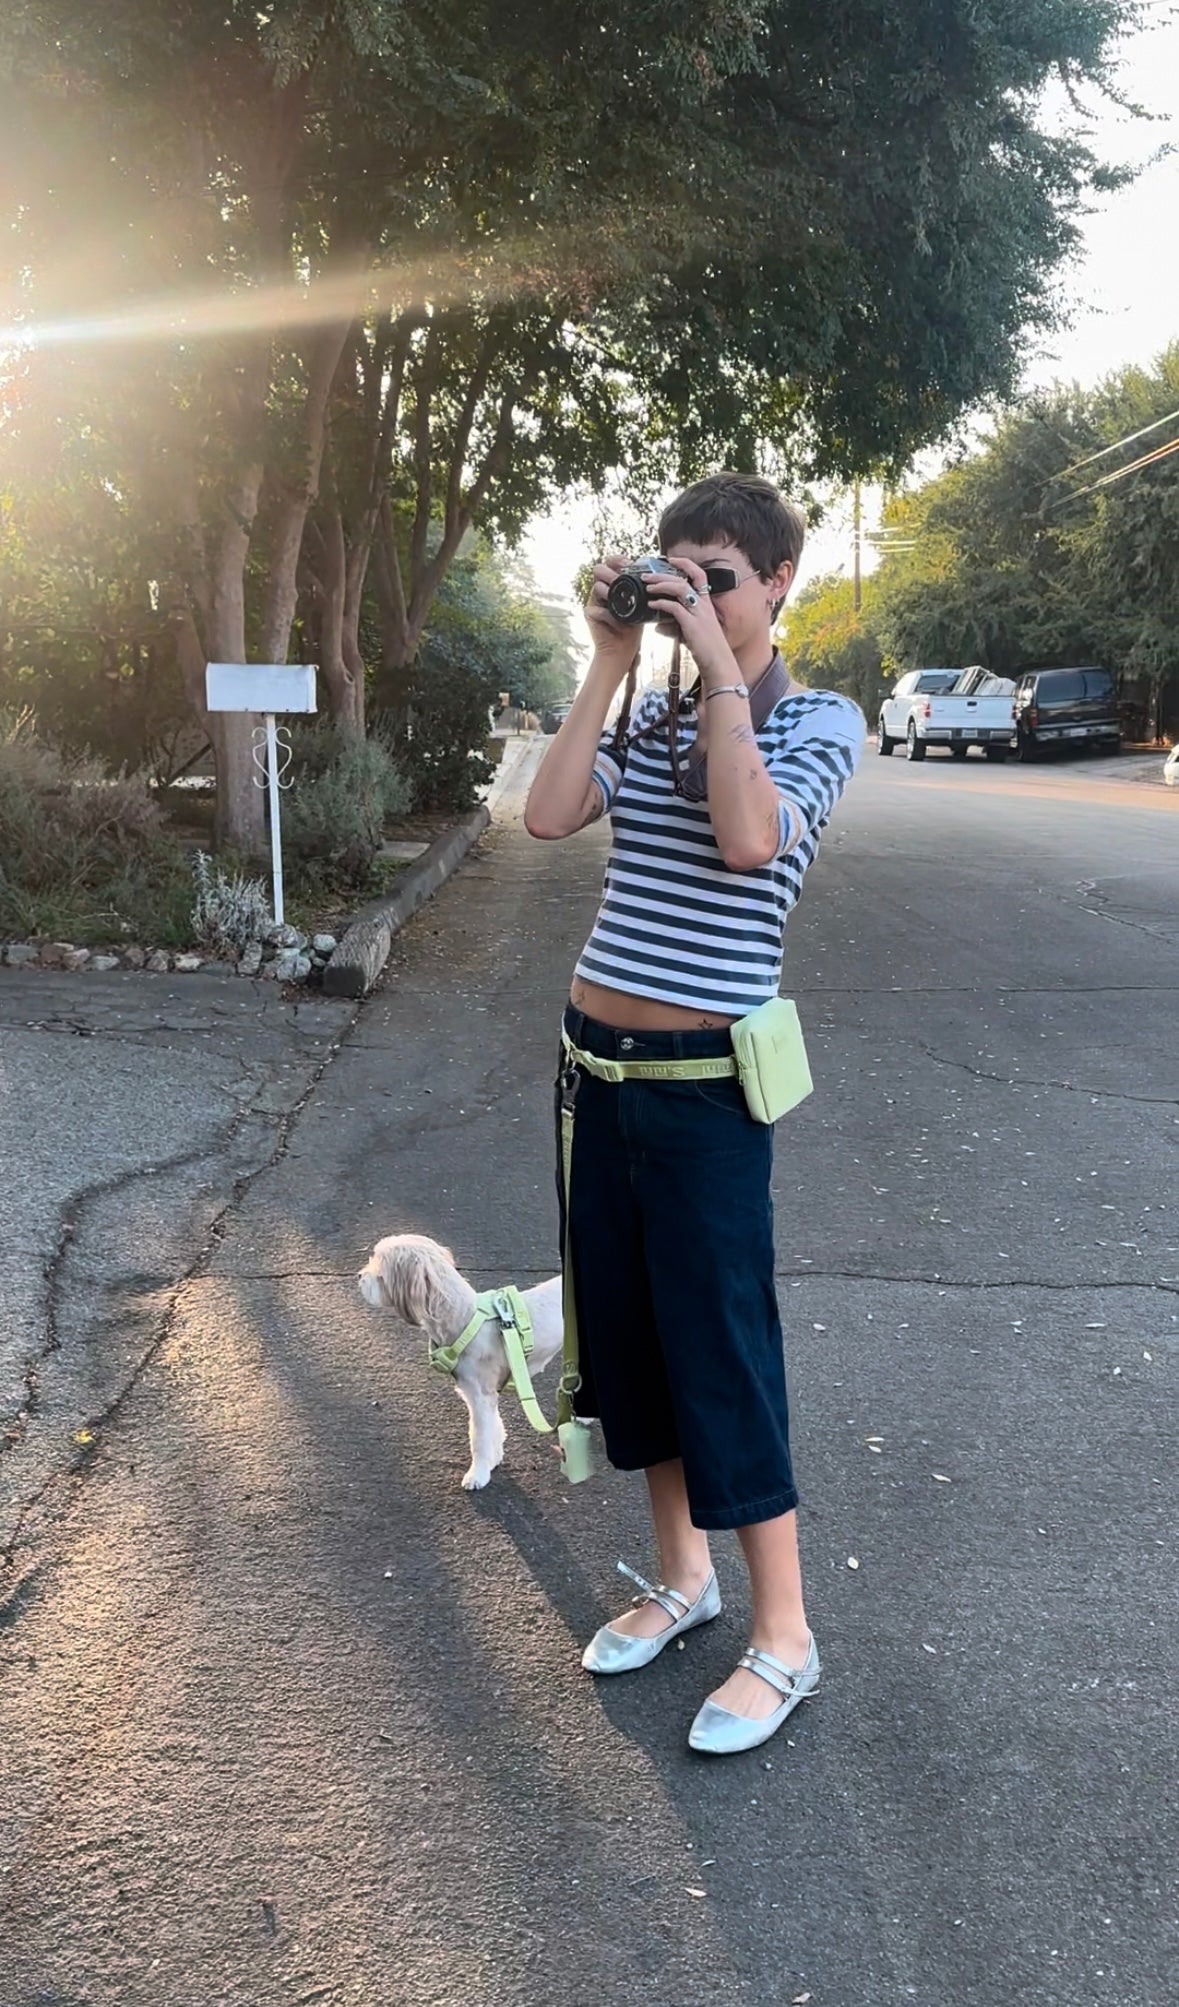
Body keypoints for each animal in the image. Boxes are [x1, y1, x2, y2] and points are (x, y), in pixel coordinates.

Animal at [357, 1220, 566, 1493]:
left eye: (379, 1271)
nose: (359, 1277)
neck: (465, 1319)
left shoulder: (480, 1395)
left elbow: (478, 1438)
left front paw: (478, 1474)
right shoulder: (484, 1396)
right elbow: (494, 1428)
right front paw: (493, 1458)